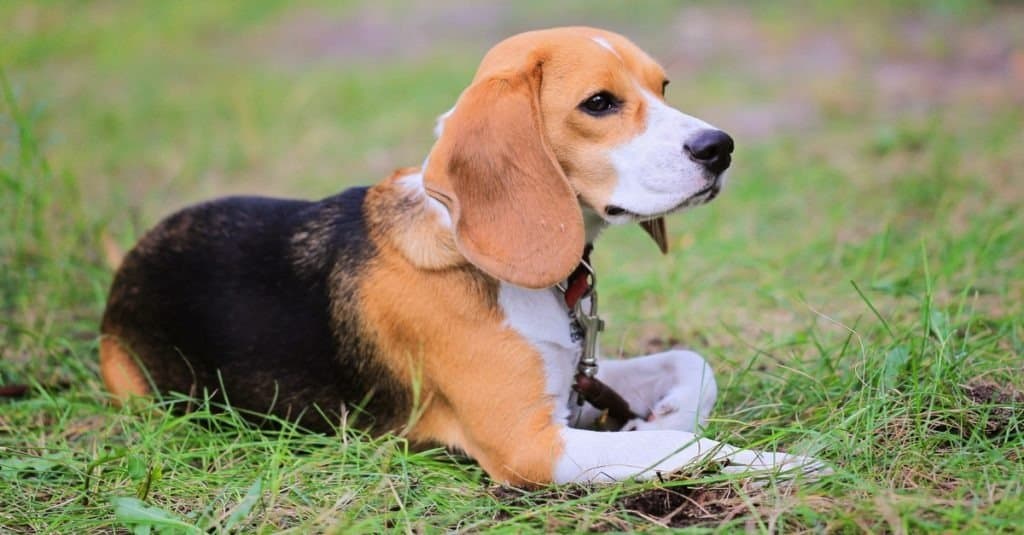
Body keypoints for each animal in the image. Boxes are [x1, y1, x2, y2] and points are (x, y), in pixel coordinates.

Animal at [101, 27, 823, 483]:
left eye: (663, 86)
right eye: (599, 103)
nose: (720, 147)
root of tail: (129, 264)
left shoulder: (571, 376)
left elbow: (690, 362)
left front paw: (663, 416)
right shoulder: (530, 445)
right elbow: (682, 449)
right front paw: (782, 462)